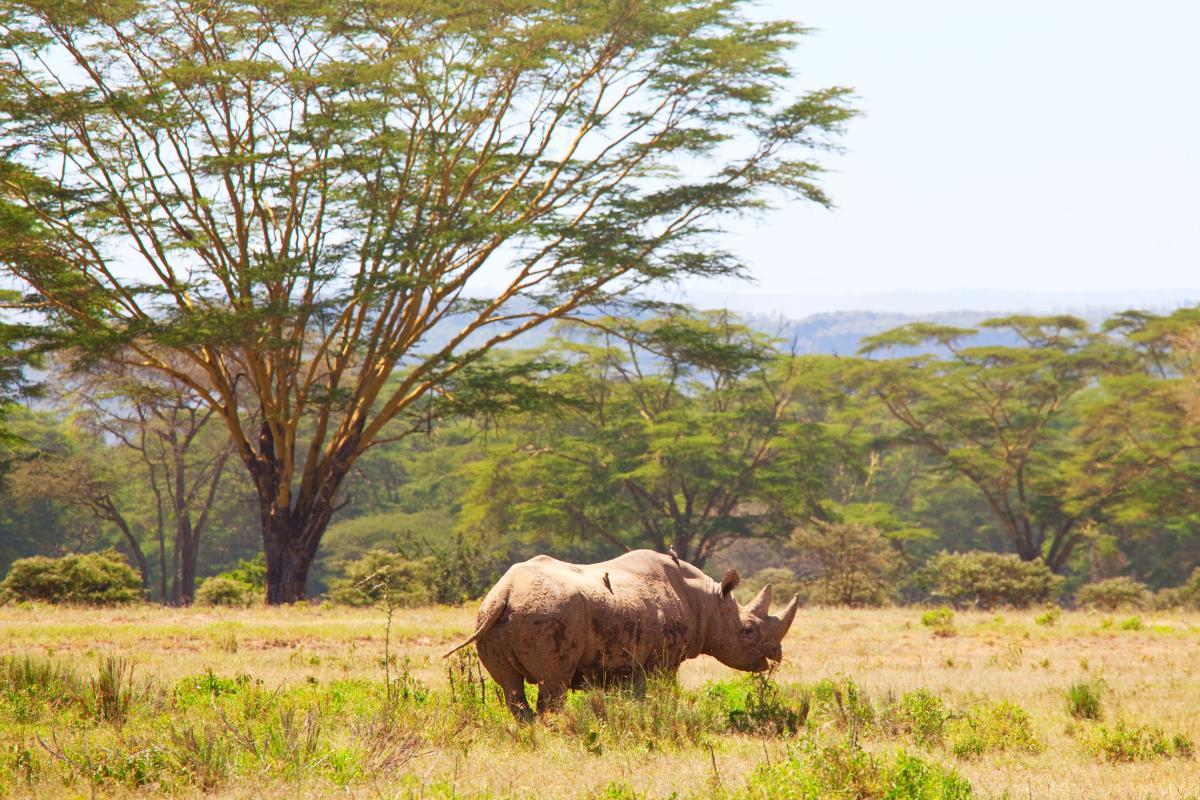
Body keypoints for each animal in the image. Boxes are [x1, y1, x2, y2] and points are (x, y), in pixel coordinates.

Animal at [444, 549, 799, 719]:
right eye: (748, 631)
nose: (776, 655)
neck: (708, 602)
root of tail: (505, 593)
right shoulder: (662, 661)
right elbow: (662, 692)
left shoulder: (623, 661)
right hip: (548, 613)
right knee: (553, 683)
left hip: (488, 616)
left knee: (511, 687)